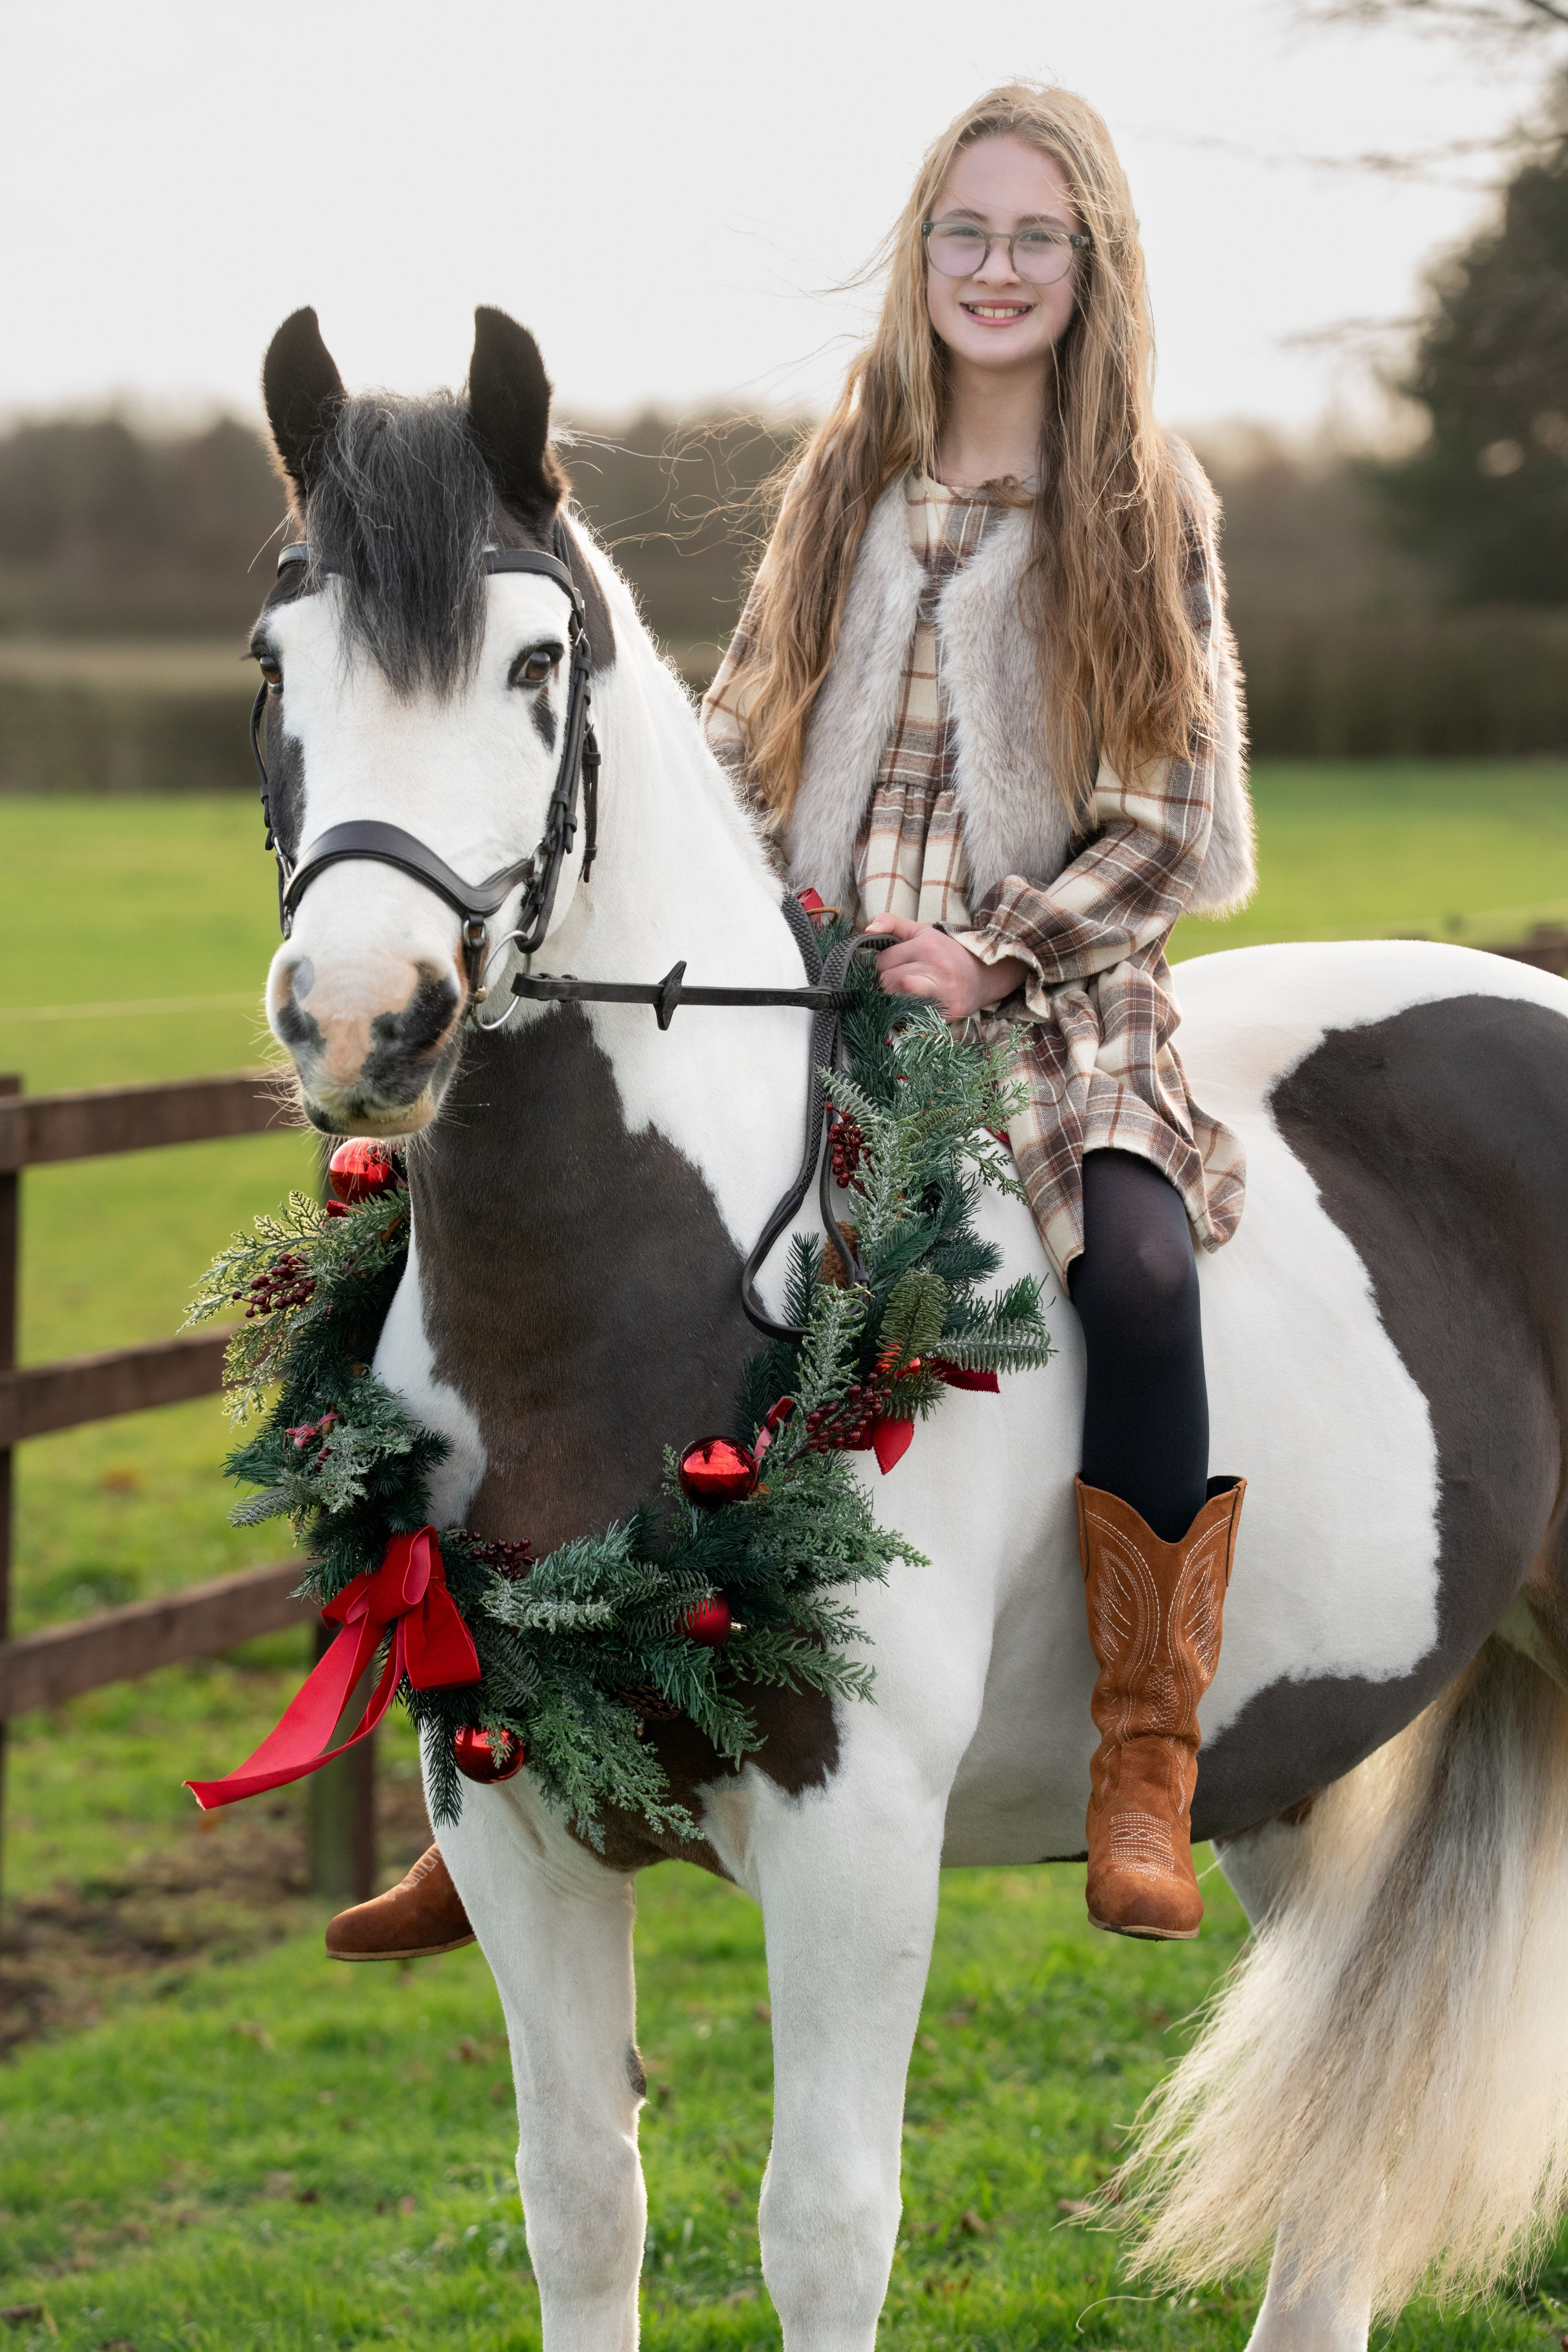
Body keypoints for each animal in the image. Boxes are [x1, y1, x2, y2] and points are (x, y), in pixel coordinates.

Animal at [249, 300, 1568, 2352]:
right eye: (271, 662)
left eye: (535, 662)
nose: (359, 1019)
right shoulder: (509, 1833)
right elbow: (579, 2204)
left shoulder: (853, 1836)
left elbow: (821, 2223)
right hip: (1295, 1745)